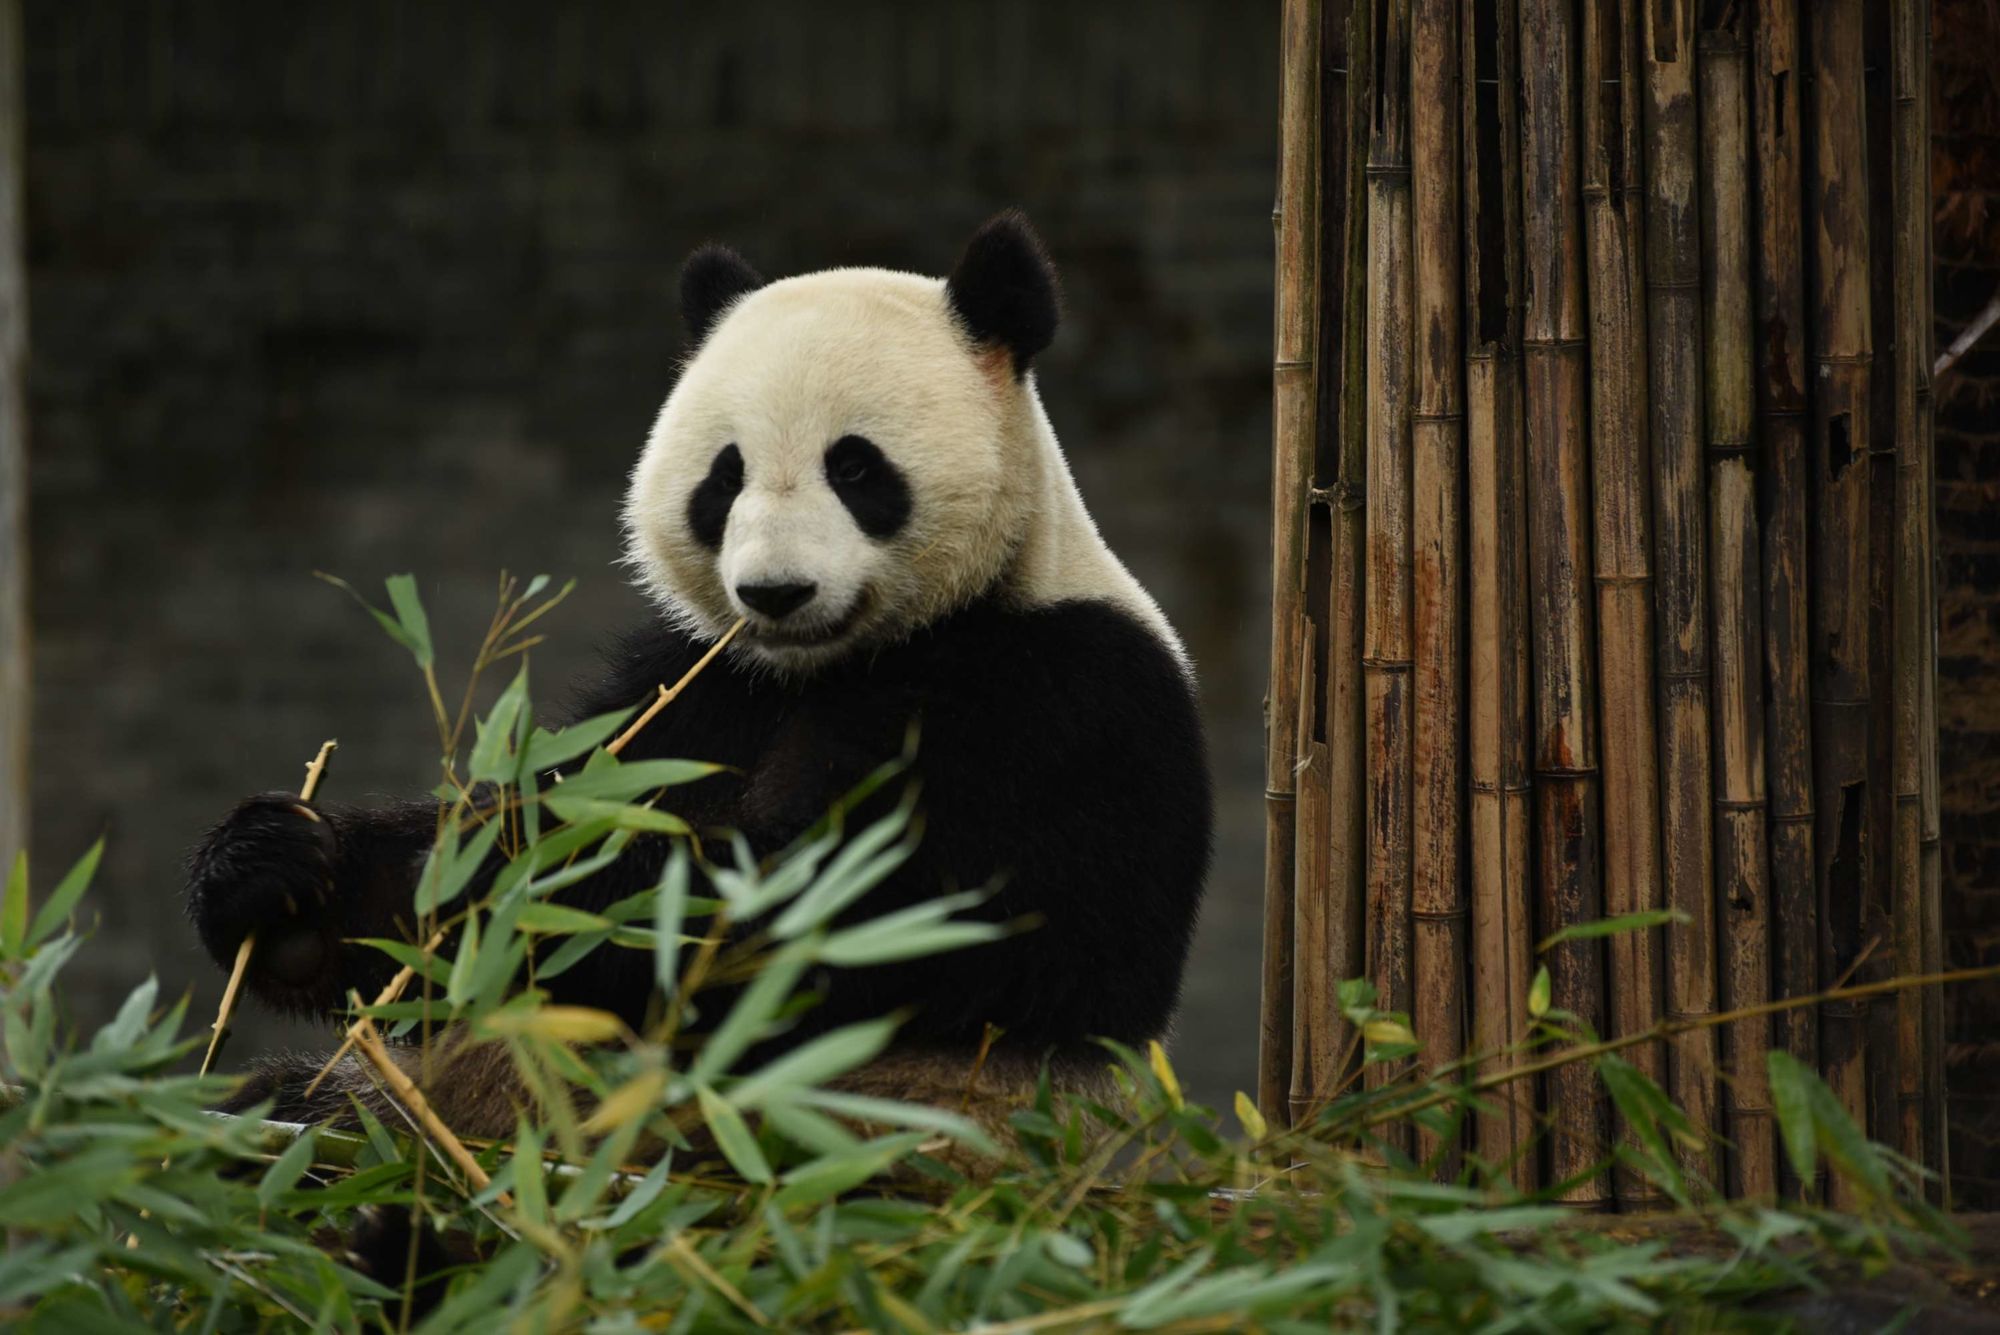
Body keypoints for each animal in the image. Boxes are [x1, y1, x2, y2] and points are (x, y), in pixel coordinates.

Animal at [188, 208, 1208, 1151]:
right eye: (725, 477)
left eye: (856, 466)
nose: (775, 591)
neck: (831, 662)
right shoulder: (694, 683)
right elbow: (595, 790)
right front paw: (279, 871)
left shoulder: (1046, 698)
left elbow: (782, 905)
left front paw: (463, 874)